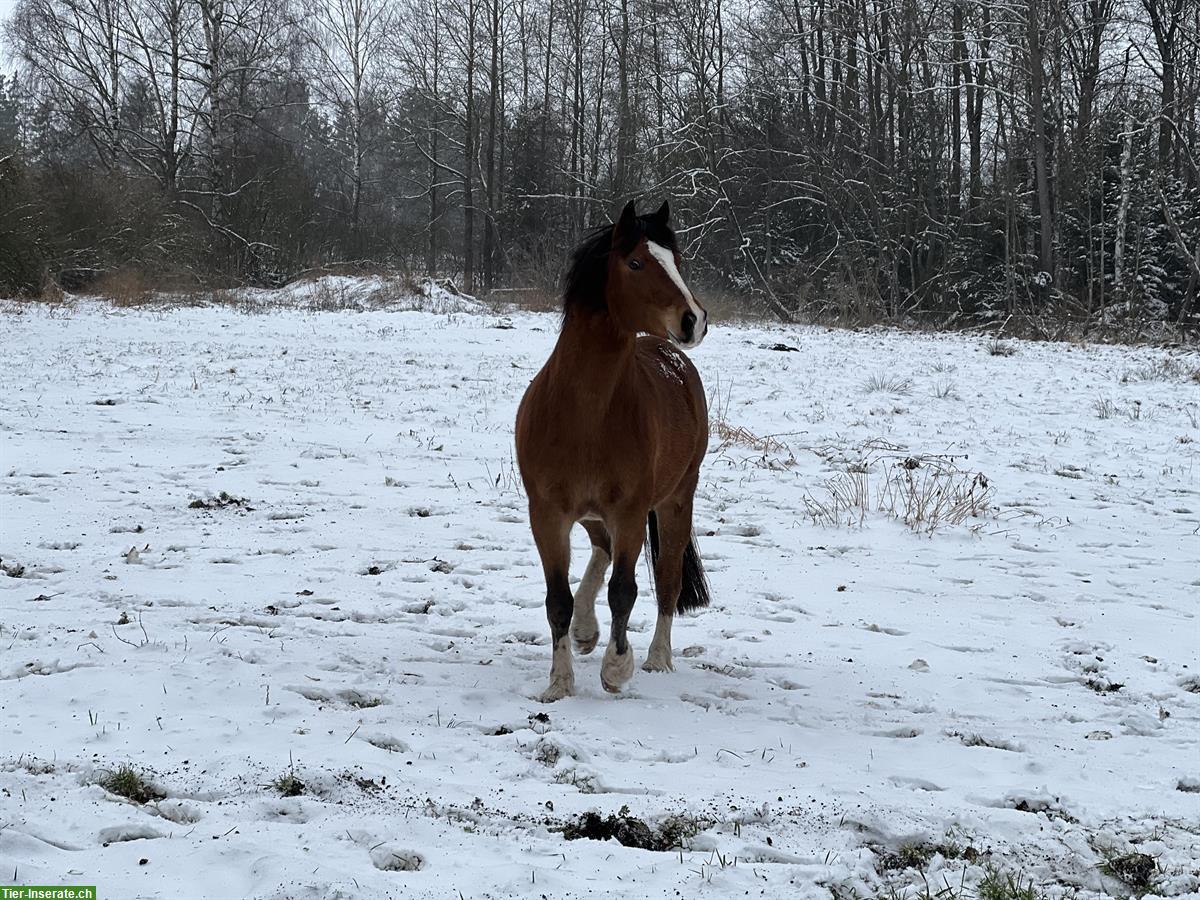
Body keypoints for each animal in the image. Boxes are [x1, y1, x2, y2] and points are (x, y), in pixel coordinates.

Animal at [513, 200, 710, 700]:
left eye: (676, 260)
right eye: (636, 263)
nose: (694, 319)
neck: (586, 413)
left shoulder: (631, 512)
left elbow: (626, 590)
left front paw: (617, 667)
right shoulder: (547, 513)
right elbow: (557, 600)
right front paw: (559, 682)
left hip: (676, 501)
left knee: (668, 580)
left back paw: (658, 658)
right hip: (589, 512)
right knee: (600, 548)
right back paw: (586, 629)